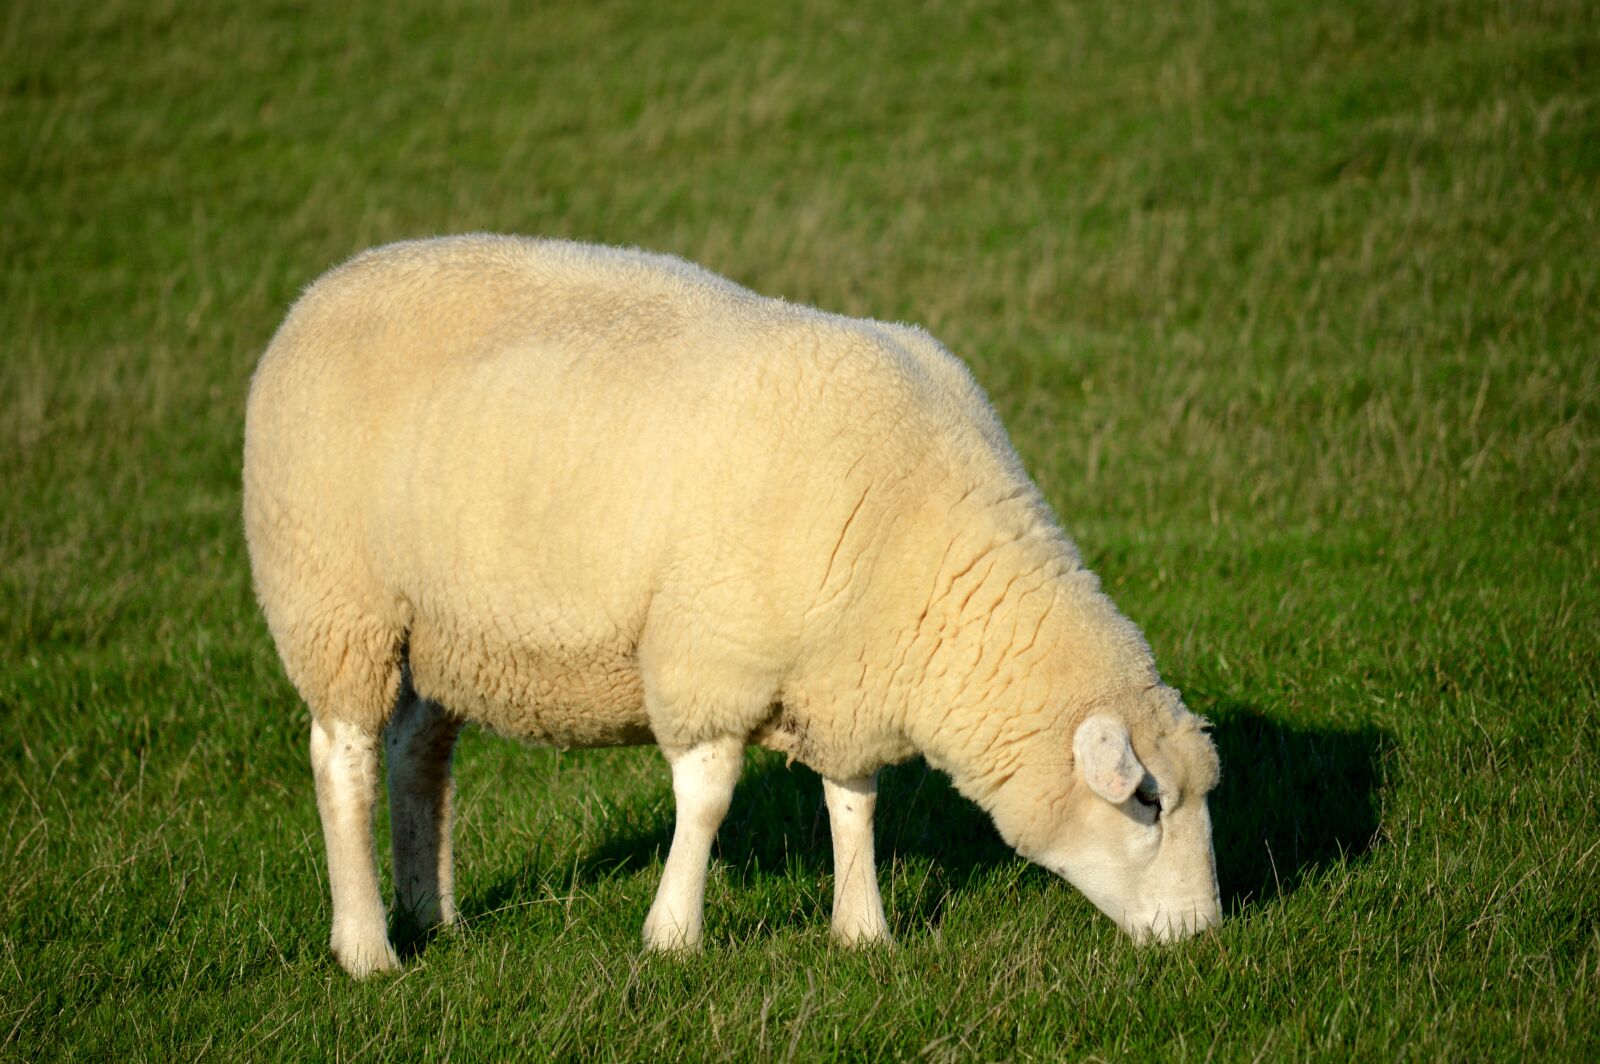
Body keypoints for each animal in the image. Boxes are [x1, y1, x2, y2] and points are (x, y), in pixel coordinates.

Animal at [243, 234, 1222, 977]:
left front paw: (863, 931)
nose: (1205, 937)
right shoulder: (710, 654)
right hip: (337, 601)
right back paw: (367, 949)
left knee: (417, 754)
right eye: (1148, 802)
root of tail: (321, 290)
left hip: (440, 629)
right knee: (343, 759)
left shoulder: (843, 672)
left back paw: (432, 915)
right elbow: (709, 800)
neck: (924, 542)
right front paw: (672, 936)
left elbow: (854, 802)